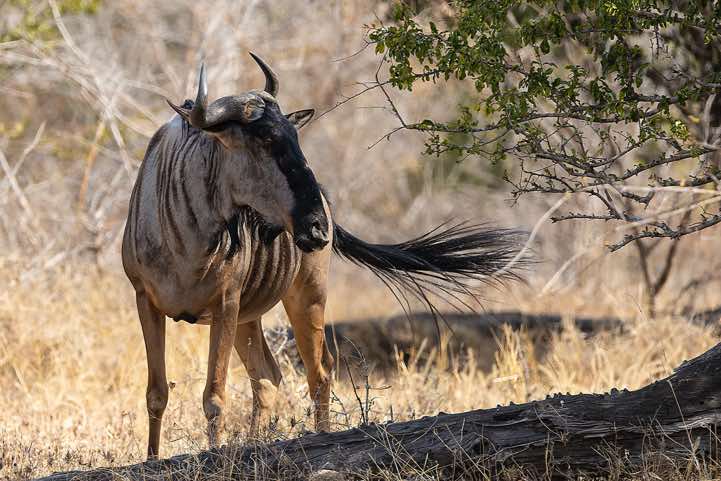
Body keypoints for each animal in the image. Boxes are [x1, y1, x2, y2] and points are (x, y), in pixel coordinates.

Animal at [122, 53, 524, 459]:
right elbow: (157, 393)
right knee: (267, 377)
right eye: (265, 139)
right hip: (250, 315)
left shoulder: (225, 303)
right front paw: (151, 460)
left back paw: (322, 439)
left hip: (305, 295)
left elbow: (214, 396)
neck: (190, 235)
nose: (315, 227)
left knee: (319, 371)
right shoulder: (146, 301)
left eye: (295, 136)